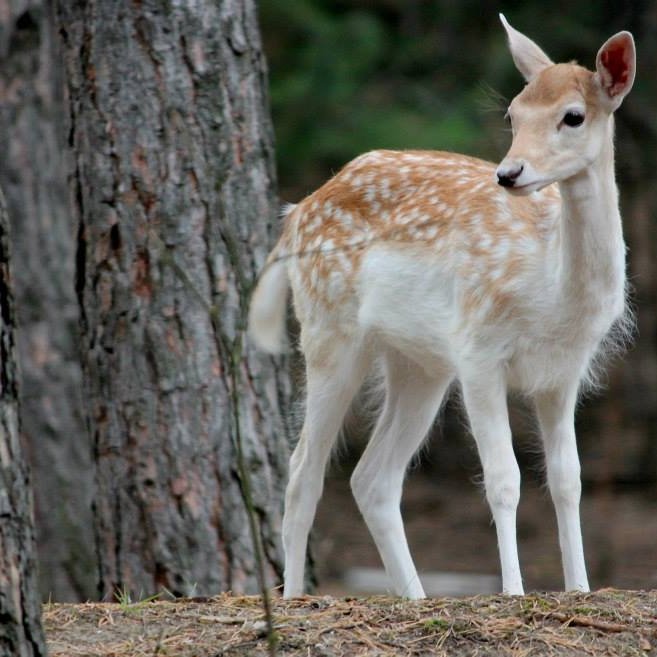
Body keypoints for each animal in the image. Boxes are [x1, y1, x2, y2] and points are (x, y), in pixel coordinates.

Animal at [247, 15, 636, 596]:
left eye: (574, 115)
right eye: (512, 112)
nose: (509, 173)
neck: (552, 293)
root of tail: (296, 212)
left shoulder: (563, 373)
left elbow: (568, 479)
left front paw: (580, 589)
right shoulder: (479, 351)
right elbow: (503, 479)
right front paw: (514, 592)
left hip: (419, 363)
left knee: (372, 478)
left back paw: (414, 596)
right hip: (329, 332)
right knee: (302, 474)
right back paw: (295, 597)